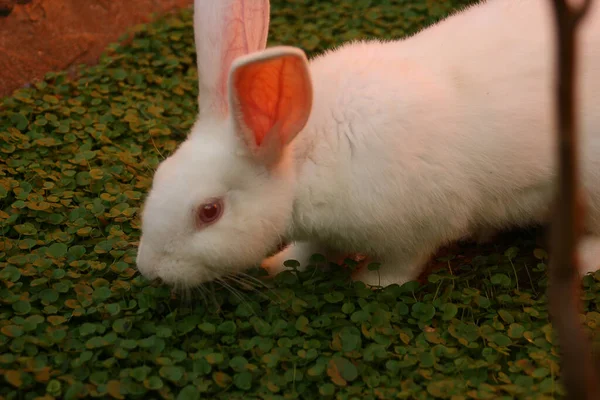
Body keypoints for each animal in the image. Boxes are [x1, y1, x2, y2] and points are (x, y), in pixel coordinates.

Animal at [136, 0, 600, 290]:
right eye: (159, 176)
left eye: (209, 212)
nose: (148, 269)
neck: (303, 153)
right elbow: (309, 250)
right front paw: (279, 265)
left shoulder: (420, 225)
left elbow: (402, 264)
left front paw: (369, 282)